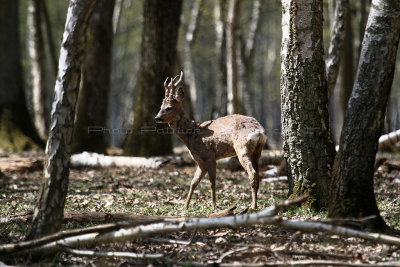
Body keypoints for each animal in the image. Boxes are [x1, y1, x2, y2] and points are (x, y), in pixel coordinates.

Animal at [155, 72, 266, 210]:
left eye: (169, 108)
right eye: (161, 106)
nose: (157, 118)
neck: (191, 134)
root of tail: (259, 132)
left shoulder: (209, 156)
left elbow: (212, 182)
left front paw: (214, 206)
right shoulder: (200, 161)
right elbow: (193, 183)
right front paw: (185, 207)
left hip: (242, 148)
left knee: (252, 173)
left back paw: (253, 206)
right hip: (257, 152)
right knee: (258, 174)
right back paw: (255, 203)